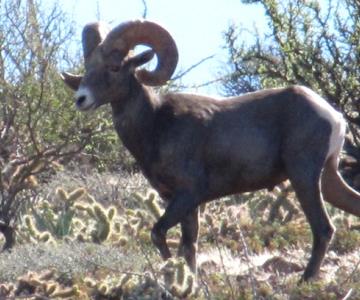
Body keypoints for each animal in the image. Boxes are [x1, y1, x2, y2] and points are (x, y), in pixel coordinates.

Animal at [62, 19, 360, 280]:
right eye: (89, 66)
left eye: (114, 67)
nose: (81, 99)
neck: (156, 124)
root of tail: (334, 116)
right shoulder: (181, 202)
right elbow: (189, 246)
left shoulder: (187, 194)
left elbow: (160, 234)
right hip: (327, 179)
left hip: (304, 177)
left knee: (323, 229)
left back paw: (304, 282)